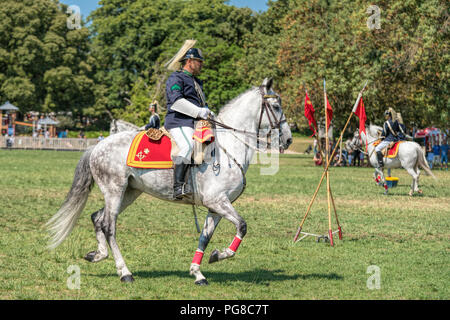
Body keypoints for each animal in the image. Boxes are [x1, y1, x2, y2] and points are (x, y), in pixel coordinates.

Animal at [46, 78, 292, 284]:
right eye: (276, 106)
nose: (288, 139)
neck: (228, 147)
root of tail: (98, 145)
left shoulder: (216, 206)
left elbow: (205, 237)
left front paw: (199, 271)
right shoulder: (218, 201)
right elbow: (242, 226)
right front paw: (221, 254)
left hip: (129, 192)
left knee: (97, 218)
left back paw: (98, 255)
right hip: (114, 190)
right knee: (108, 225)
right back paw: (125, 272)